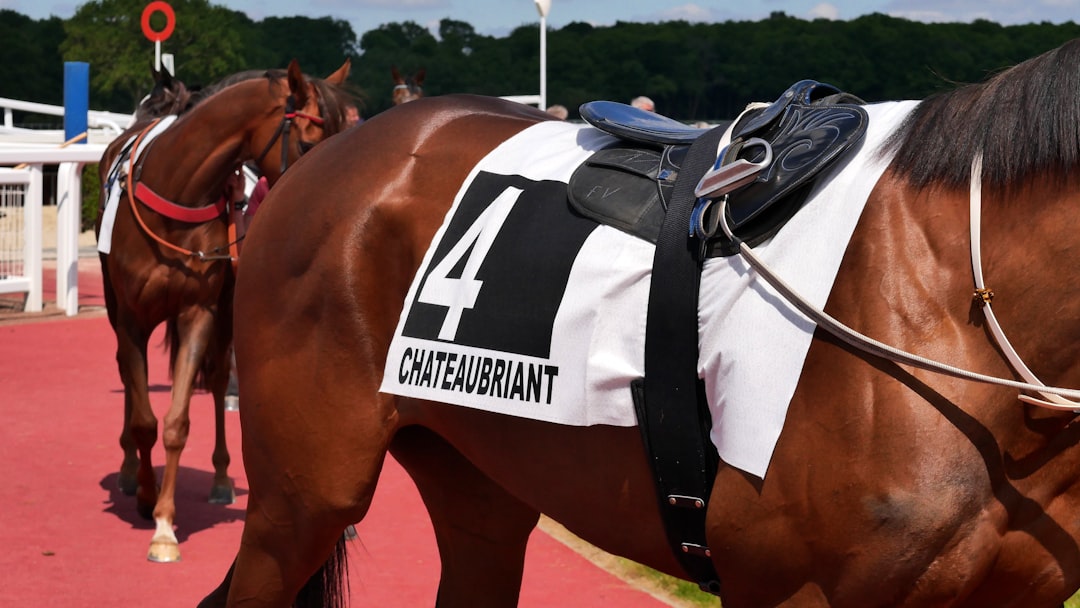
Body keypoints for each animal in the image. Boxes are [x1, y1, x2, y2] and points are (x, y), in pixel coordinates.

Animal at [96, 58, 353, 563]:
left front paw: (164, 525)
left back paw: (219, 480)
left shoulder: (200, 311)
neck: (176, 194)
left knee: (216, 383)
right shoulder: (133, 318)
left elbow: (177, 422)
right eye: (309, 144)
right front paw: (145, 495)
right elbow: (143, 418)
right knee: (127, 376)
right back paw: (128, 470)